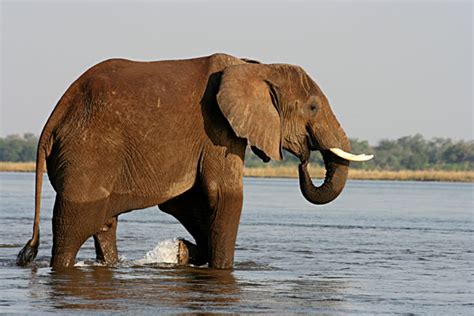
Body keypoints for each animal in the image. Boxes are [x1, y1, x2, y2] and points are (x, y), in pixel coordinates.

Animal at [16, 52, 372, 270]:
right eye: (312, 107)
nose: (302, 160)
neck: (256, 66)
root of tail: (55, 116)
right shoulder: (218, 130)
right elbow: (225, 196)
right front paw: (213, 264)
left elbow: (188, 201)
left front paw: (182, 251)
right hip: (86, 153)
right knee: (73, 226)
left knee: (104, 222)